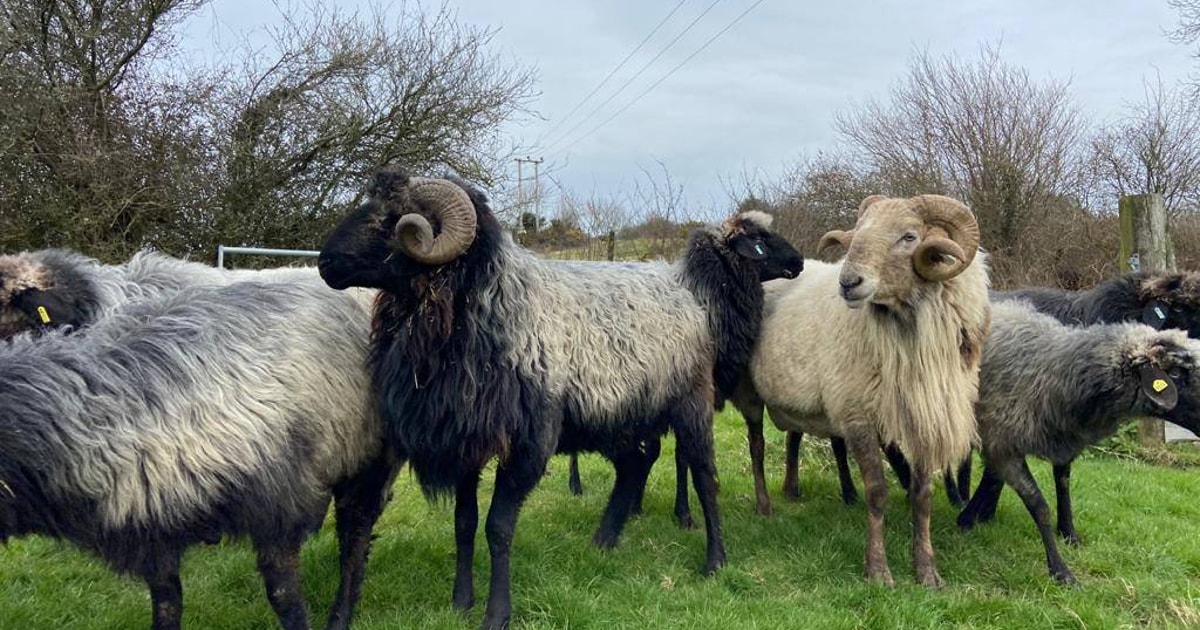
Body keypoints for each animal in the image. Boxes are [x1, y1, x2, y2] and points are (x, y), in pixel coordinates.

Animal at [0, 277, 397, 630]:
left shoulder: (279, 503)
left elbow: (283, 596)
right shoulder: (153, 530)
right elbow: (166, 606)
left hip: (368, 459)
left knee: (355, 537)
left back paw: (341, 614)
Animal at [317, 168, 803, 630]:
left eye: (393, 218)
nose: (324, 262)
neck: (488, 307)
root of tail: (684, 293)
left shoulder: (530, 441)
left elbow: (498, 527)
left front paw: (497, 614)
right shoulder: (468, 437)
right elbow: (464, 524)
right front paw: (460, 602)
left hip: (689, 404)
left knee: (703, 475)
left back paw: (714, 559)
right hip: (619, 416)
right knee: (634, 466)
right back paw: (604, 541)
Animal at [732, 193, 989, 587]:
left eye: (909, 237)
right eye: (859, 232)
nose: (848, 282)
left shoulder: (923, 417)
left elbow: (923, 497)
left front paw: (927, 570)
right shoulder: (859, 416)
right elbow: (878, 492)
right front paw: (878, 570)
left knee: (793, 436)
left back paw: (792, 488)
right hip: (750, 392)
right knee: (757, 447)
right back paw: (765, 506)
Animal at [954, 299, 1200, 584]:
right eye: (1175, 373)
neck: (1054, 369)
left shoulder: (1060, 438)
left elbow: (1062, 486)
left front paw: (1069, 534)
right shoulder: (1004, 445)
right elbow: (1038, 504)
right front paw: (1061, 570)